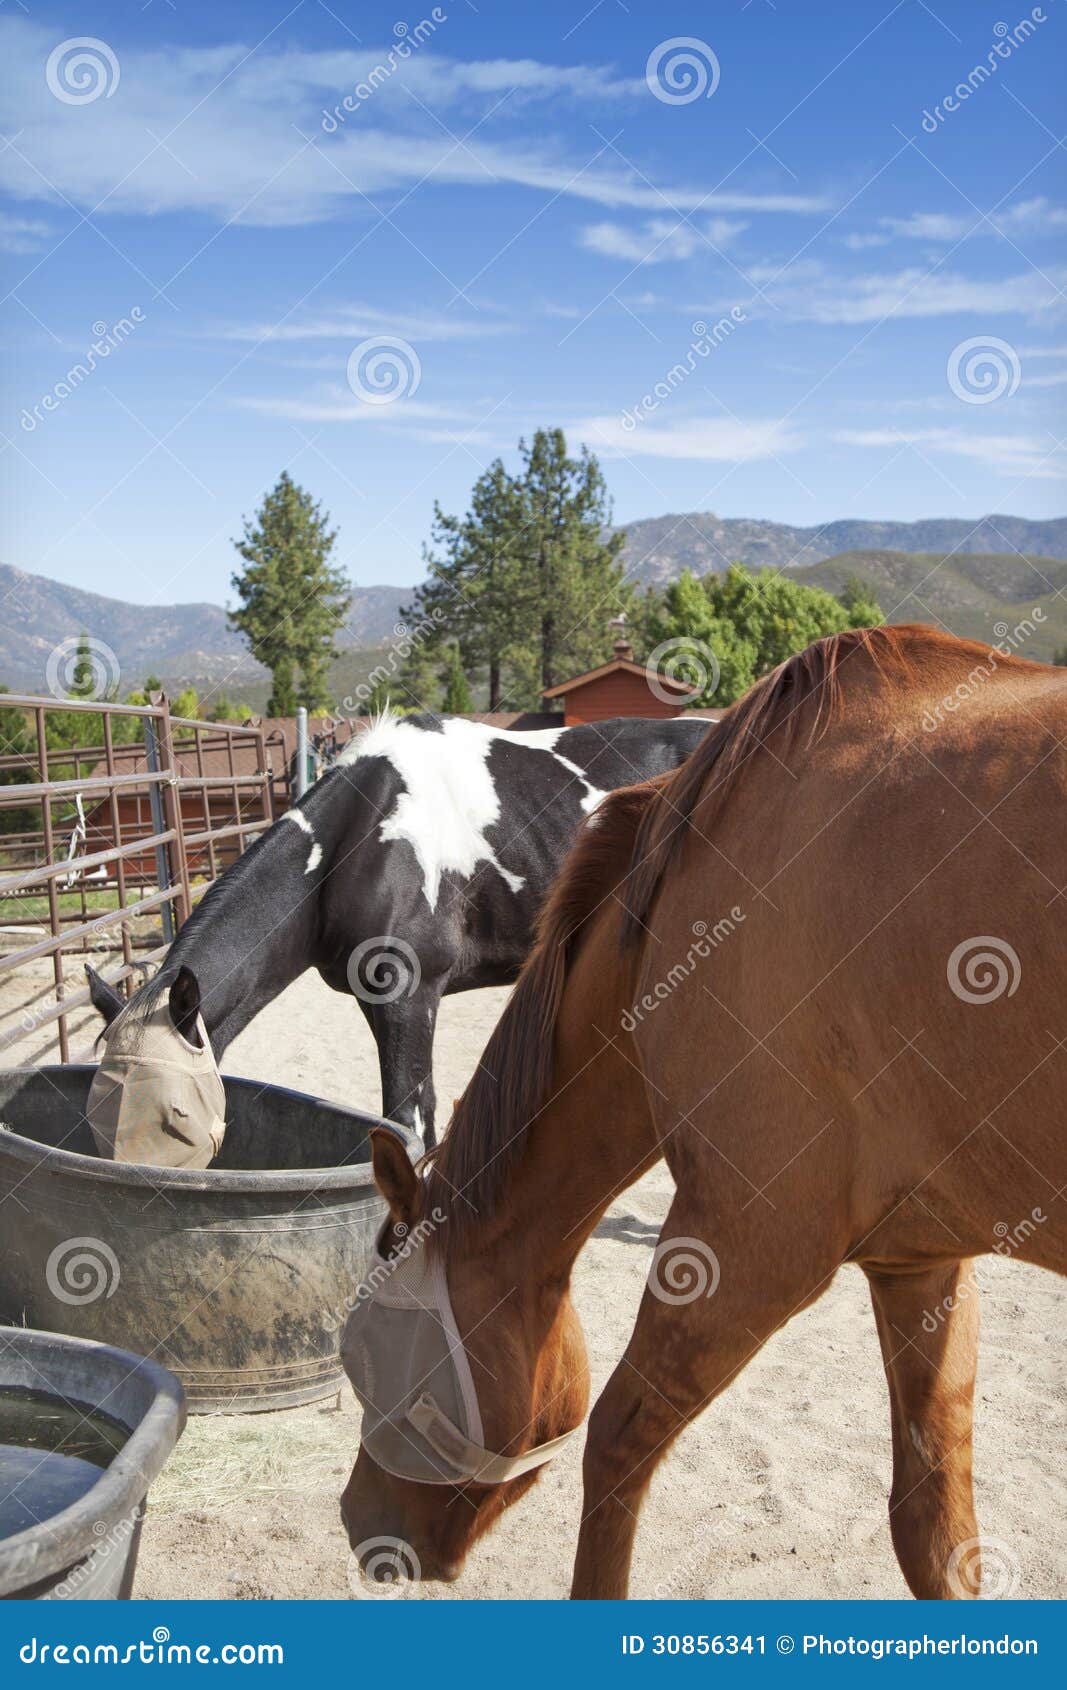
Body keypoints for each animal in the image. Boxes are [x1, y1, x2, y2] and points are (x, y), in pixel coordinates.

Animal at [340, 624, 1066, 1599]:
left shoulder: (744, 1246)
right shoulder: (920, 1262)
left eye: (372, 1354)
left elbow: (613, 1451)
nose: (358, 1523)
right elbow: (931, 1528)